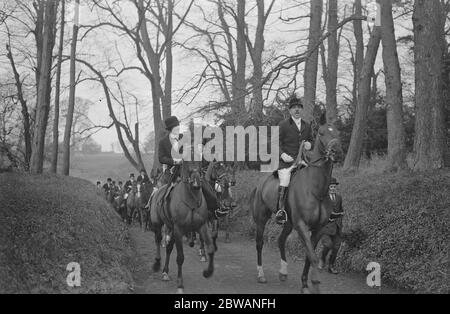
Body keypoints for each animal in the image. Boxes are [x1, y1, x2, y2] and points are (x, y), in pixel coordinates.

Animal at [148, 159, 216, 294]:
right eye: (186, 161)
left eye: (200, 159)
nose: (196, 183)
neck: (191, 199)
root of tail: (157, 191)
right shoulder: (179, 229)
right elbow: (180, 257)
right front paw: (180, 284)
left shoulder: (202, 226)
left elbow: (210, 248)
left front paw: (207, 272)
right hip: (158, 224)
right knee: (158, 240)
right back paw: (157, 264)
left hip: (172, 229)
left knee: (169, 248)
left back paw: (165, 272)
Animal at [250, 113, 344, 294]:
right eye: (321, 133)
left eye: (338, 132)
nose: (337, 153)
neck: (316, 189)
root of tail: (261, 182)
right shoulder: (302, 225)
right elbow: (312, 256)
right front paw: (315, 284)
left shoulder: (318, 229)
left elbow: (309, 255)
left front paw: (305, 284)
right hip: (261, 219)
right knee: (259, 244)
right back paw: (260, 274)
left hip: (289, 223)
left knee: (280, 240)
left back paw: (283, 272)